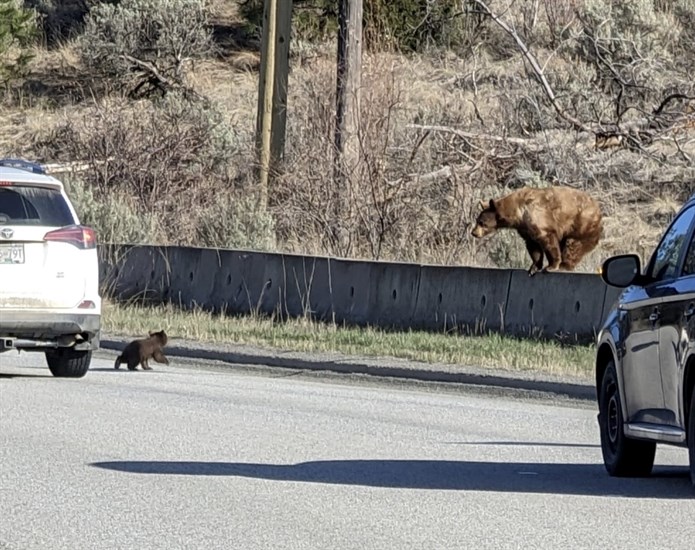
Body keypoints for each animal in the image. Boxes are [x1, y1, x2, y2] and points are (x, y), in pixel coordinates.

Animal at [474, 188, 604, 278]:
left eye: (481, 222)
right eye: (477, 220)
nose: (473, 233)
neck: (518, 213)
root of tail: (599, 210)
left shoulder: (538, 218)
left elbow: (548, 241)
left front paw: (551, 266)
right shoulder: (525, 228)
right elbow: (533, 246)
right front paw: (533, 268)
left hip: (582, 224)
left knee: (573, 245)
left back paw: (564, 265)